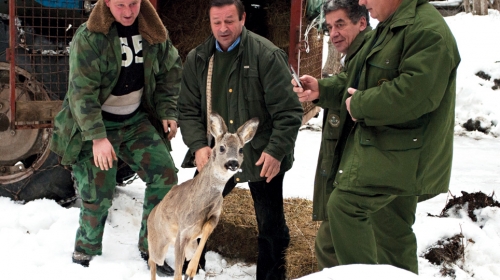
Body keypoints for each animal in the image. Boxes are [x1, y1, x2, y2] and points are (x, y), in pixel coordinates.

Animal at [146, 112, 258, 280]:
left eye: (241, 150)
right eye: (222, 147)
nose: (233, 163)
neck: (202, 202)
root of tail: (150, 216)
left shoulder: (213, 217)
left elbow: (206, 230)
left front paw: (191, 271)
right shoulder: (182, 231)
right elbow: (177, 273)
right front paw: (187, 271)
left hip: (188, 245)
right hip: (158, 242)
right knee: (152, 260)